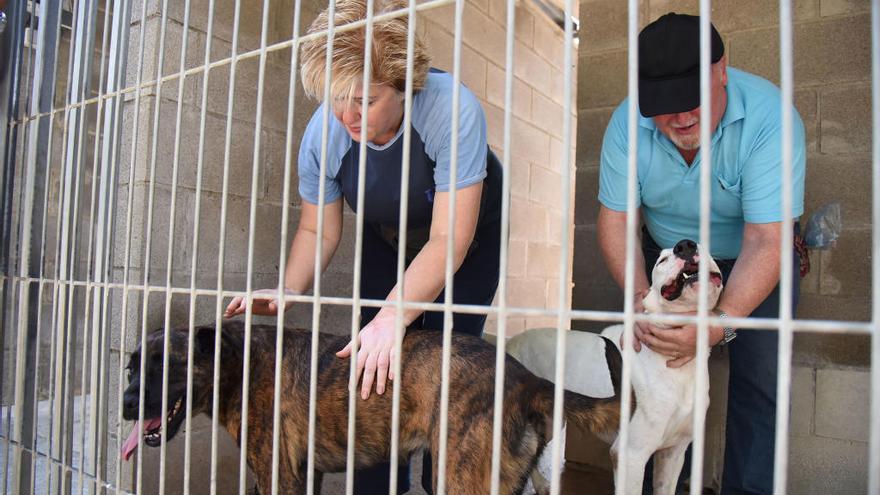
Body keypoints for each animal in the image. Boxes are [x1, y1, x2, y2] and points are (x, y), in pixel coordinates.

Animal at [120, 324, 624, 494]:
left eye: (168, 366)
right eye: (131, 367)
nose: (125, 403)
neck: (240, 363)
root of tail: (525, 379)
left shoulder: (277, 475)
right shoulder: (303, 473)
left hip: (461, 479)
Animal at [506, 238, 724, 494]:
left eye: (705, 247)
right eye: (661, 261)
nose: (685, 245)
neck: (674, 367)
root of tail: (510, 341)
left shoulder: (673, 452)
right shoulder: (630, 454)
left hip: (550, 420)